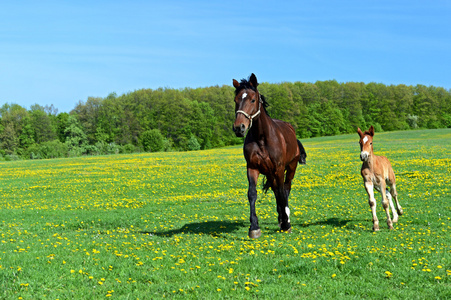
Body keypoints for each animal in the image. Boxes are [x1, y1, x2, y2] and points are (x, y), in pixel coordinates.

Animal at [233, 74, 308, 238]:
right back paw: (280, 218)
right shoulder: (252, 168)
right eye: (235, 100)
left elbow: (281, 193)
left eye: (253, 100)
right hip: (270, 173)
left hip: (290, 168)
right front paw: (254, 227)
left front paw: (286, 224)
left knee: (285, 189)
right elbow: (252, 194)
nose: (239, 128)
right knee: (276, 190)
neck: (262, 138)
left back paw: (285, 218)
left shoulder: (279, 169)